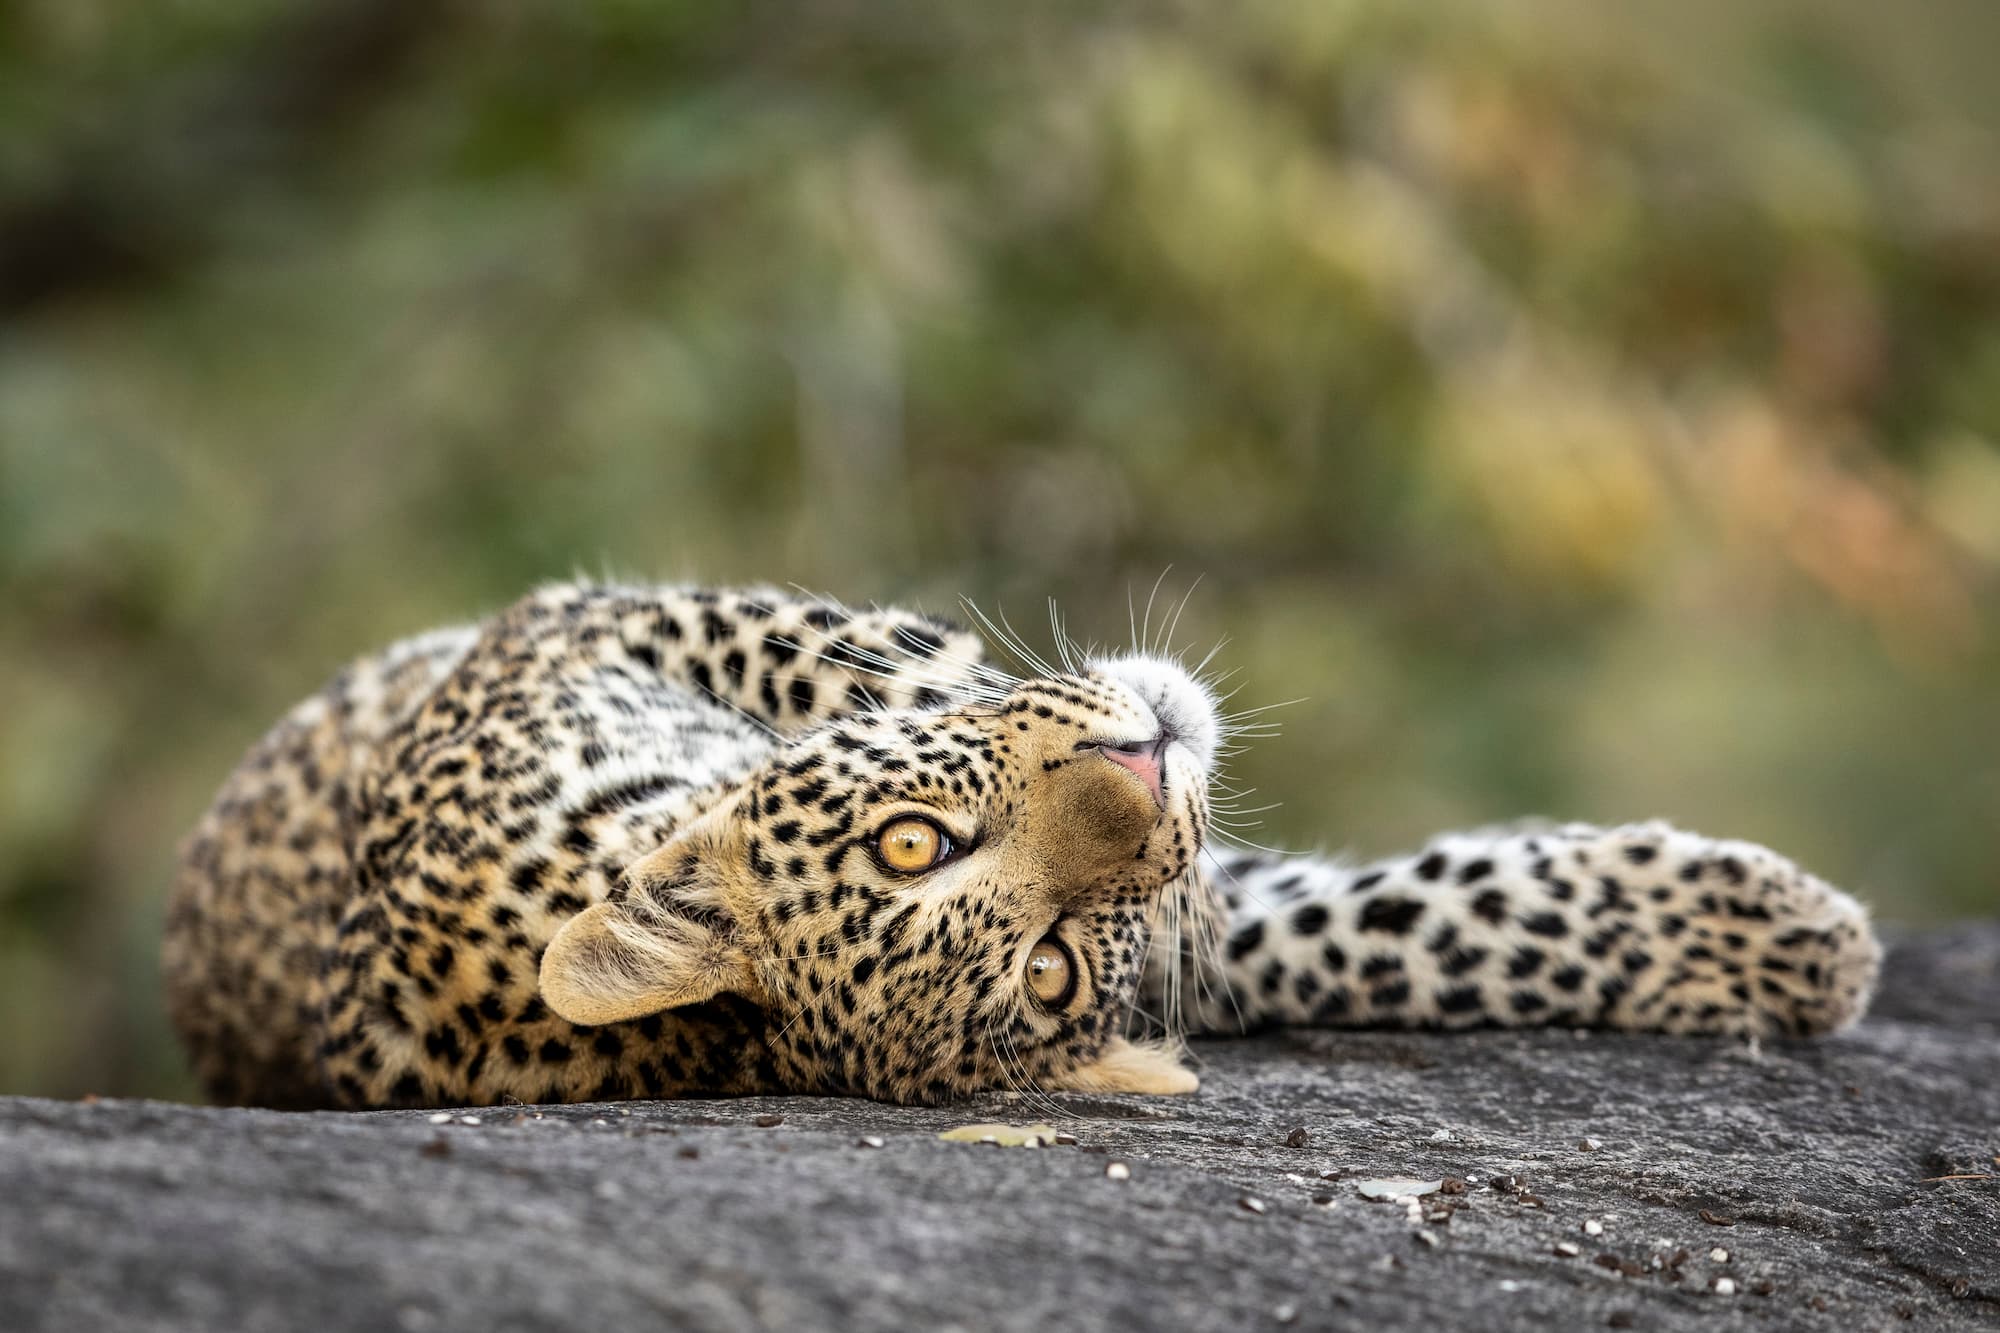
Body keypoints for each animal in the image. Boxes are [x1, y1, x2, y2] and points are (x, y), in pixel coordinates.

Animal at [162, 582, 1882, 1110]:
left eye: (913, 840)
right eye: (1046, 973)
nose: (1144, 760)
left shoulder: (586, 625)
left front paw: (1767, 936)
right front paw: (1805, 941)